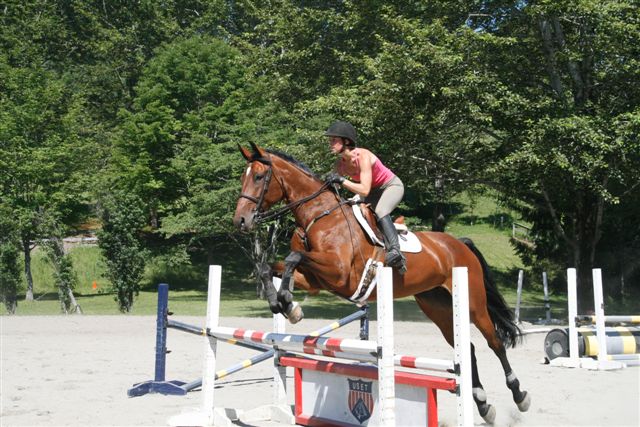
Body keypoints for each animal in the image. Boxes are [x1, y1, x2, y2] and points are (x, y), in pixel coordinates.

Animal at [233, 142, 530, 423]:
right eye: (243, 177)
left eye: (258, 176)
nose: (241, 221)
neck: (320, 215)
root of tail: (458, 243)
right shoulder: (317, 280)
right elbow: (268, 266)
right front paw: (284, 305)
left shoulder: (339, 273)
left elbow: (293, 257)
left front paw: (287, 303)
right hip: (437, 306)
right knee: (466, 349)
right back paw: (483, 405)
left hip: (473, 303)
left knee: (495, 342)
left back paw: (519, 395)